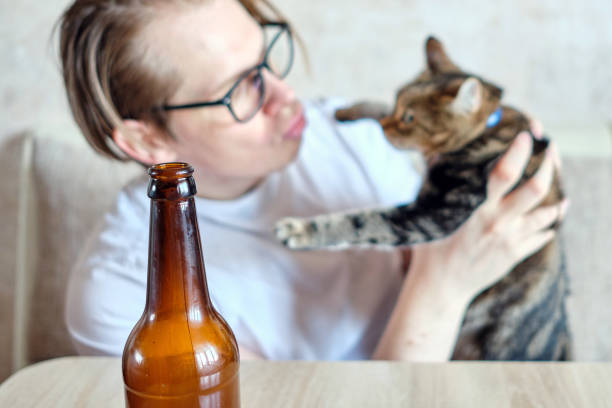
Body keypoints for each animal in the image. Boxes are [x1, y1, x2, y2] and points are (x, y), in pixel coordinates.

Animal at [274, 35, 572, 360]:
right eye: (397, 105)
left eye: (409, 118)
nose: (385, 127)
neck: (488, 128)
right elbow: (376, 109)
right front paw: (350, 110)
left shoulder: (436, 213)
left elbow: (362, 223)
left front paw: (302, 230)